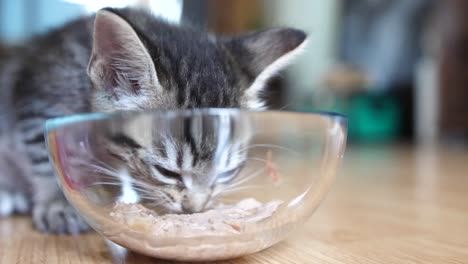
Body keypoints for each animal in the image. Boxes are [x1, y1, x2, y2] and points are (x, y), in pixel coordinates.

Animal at [0, 7, 308, 233]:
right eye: (167, 171)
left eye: (226, 172)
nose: (194, 209)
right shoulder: (40, 98)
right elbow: (45, 155)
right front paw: (58, 203)